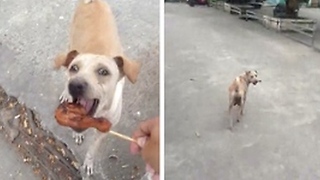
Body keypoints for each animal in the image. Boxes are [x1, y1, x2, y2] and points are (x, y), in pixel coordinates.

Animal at [53, 0, 140, 176]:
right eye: (74, 68)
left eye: (103, 72)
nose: (75, 85)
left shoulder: (103, 131)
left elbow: (92, 149)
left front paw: (88, 162)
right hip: (70, 44)